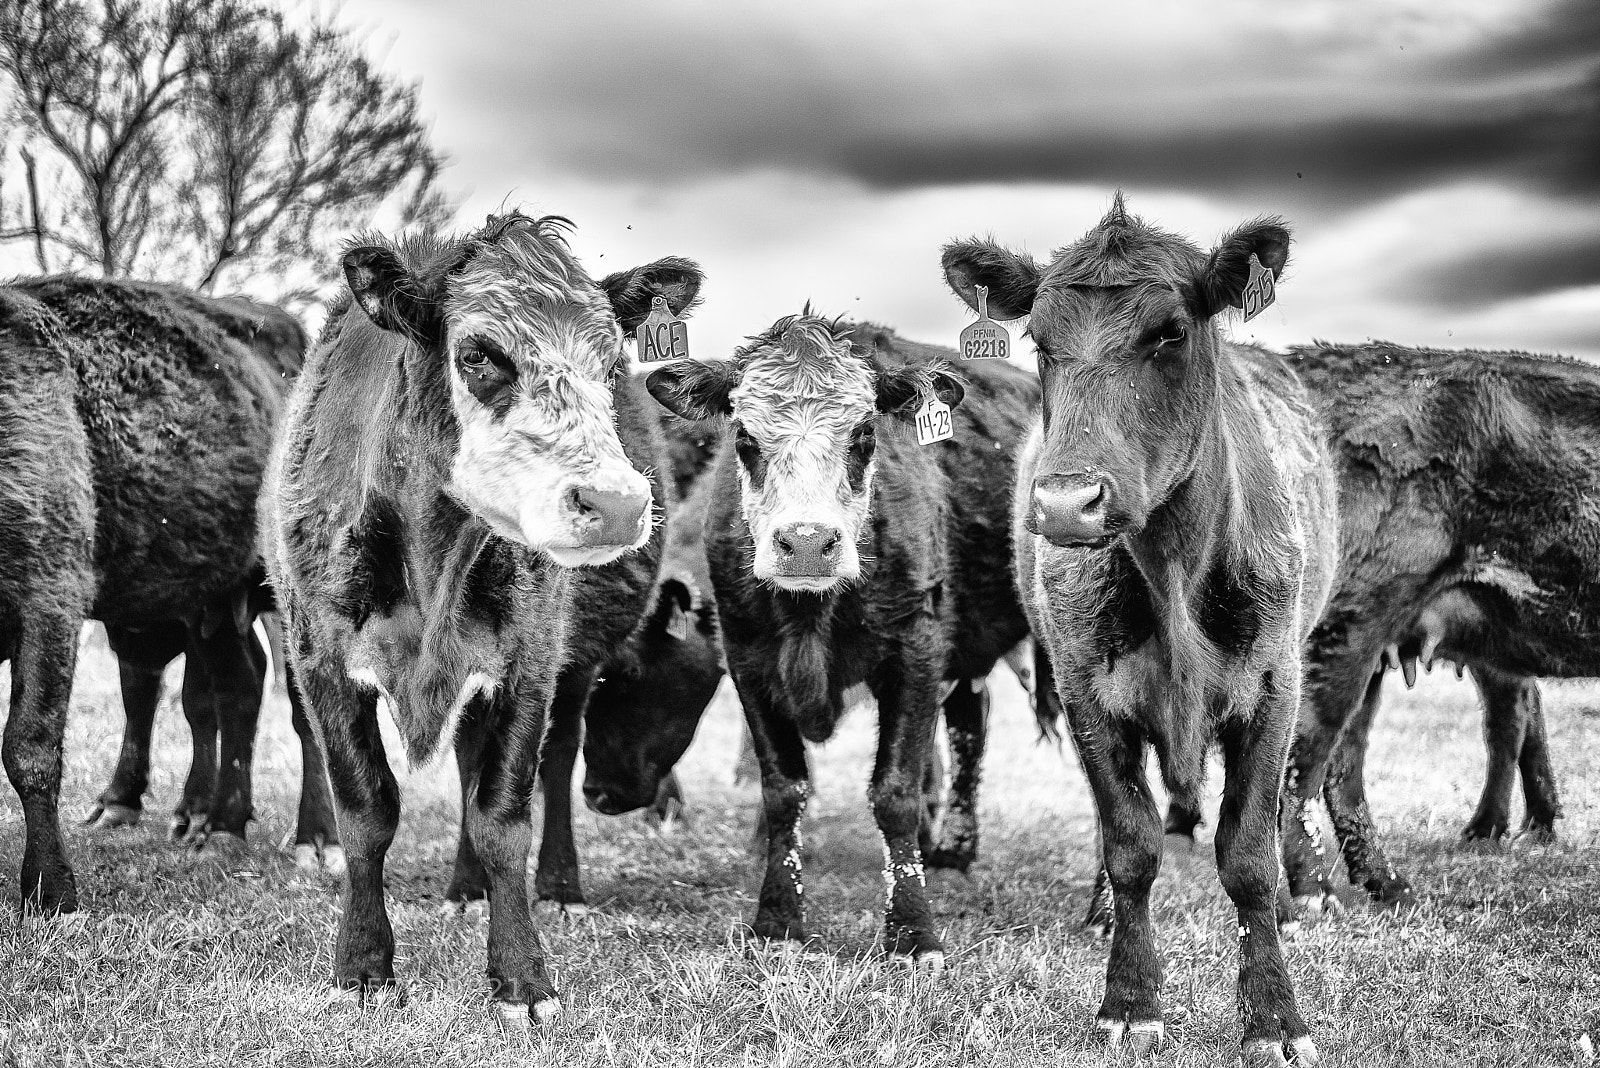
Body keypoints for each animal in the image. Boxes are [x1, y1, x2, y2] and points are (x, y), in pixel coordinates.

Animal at [1, 279, 334, 913]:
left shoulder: (48, 598)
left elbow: (30, 745)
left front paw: (51, 889)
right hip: (213, 602)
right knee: (236, 687)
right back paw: (221, 824)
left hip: (289, 594)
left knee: (304, 710)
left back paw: (316, 839)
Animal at [263, 211, 702, 1021]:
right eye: (478, 355)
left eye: (609, 363)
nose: (616, 503)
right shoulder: (321, 659)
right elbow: (367, 810)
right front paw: (363, 964)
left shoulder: (528, 664)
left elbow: (502, 816)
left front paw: (523, 976)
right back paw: (462, 890)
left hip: (571, 665)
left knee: (552, 765)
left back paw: (554, 888)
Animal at [644, 315, 1035, 968]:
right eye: (744, 437)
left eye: (864, 432)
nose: (806, 543)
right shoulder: (749, 659)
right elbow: (784, 789)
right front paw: (778, 921)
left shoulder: (917, 652)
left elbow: (895, 791)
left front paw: (913, 933)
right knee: (970, 720)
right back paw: (953, 849)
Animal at [949, 196, 1337, 1065]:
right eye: (1039, 342)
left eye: (1169, 333)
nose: (1066, 502)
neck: (1174, 570)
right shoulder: (1087, 691)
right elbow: (1130, 842)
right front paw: (1130, 999)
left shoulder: (1275, 688)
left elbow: (1249, 854)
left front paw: (1275, 1016)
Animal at [1279, 339, 1600, 915]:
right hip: (1351, 627)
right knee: (1309, 755)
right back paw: (1316, 897)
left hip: (1377, 645)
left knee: (1347, 760)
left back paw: (1393, 885)